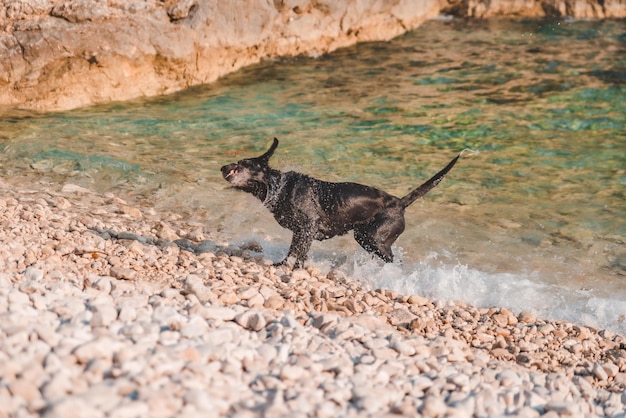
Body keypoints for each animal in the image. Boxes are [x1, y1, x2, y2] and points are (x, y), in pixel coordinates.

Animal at [222, 137, 456, 268]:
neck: (279, 187)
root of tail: (400, 202)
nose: (222, 167)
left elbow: (299, 253)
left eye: (241, 163)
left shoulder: (307, 228)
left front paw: (293, 269)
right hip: (365, 237)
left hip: (374, 239)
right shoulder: (299, 232)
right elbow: (293, 252)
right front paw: (282, 265)